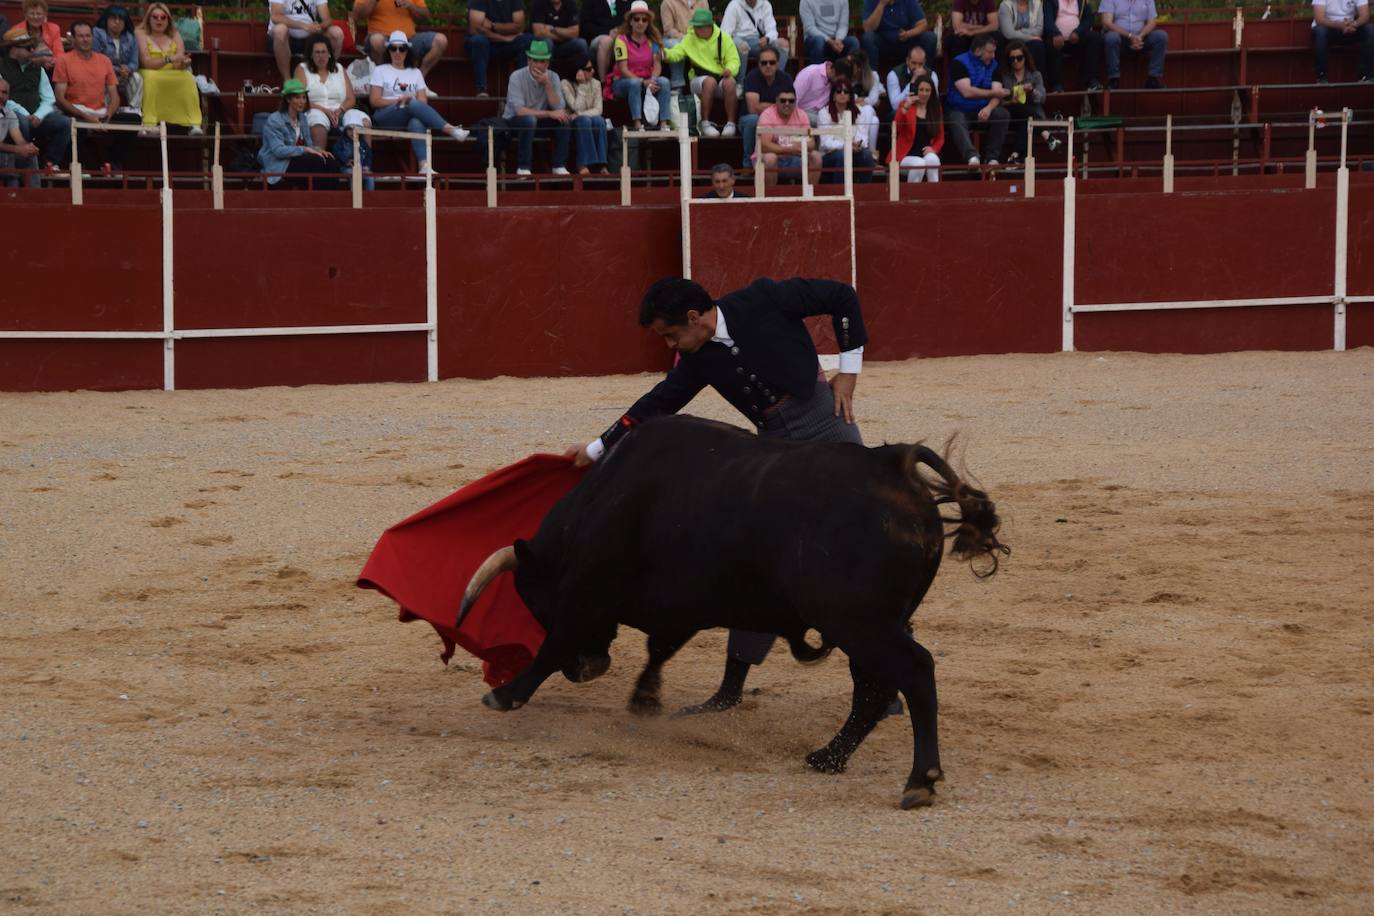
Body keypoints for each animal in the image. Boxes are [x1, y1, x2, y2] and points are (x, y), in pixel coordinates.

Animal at [456, 414, 1005, 807]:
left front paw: (505, 695)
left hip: (861, 623)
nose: (588, 670)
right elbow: (659, 649)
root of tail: (894, 466)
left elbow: (553, 648)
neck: (602, 502)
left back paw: (919, 781)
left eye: (535, 600)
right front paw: (645, 700)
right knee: (875, 690)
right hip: (873, 625)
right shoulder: (675, 606)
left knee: (913, 672)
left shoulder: (584, 597)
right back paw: (827, 758)